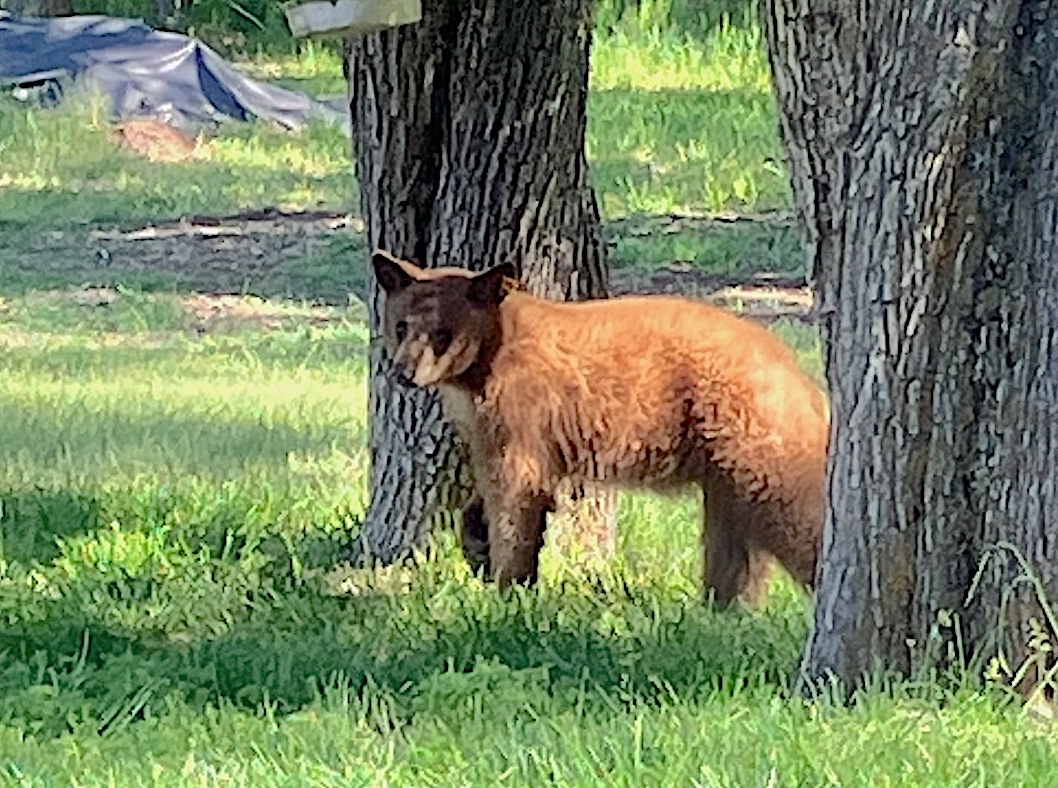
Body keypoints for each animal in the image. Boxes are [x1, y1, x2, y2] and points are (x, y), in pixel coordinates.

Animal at [372, 250, 830, 607]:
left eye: (442, 334)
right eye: (401, 326)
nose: (403, 372)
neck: (488, 359)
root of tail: (796, 373)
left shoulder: (522, 414)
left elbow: (516, 495)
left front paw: (507, 587)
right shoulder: (486, 426)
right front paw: (478, 544)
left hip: (750, 436)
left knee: (789, 510)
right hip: (725, 470)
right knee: (735, 545)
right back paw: (722, 611)